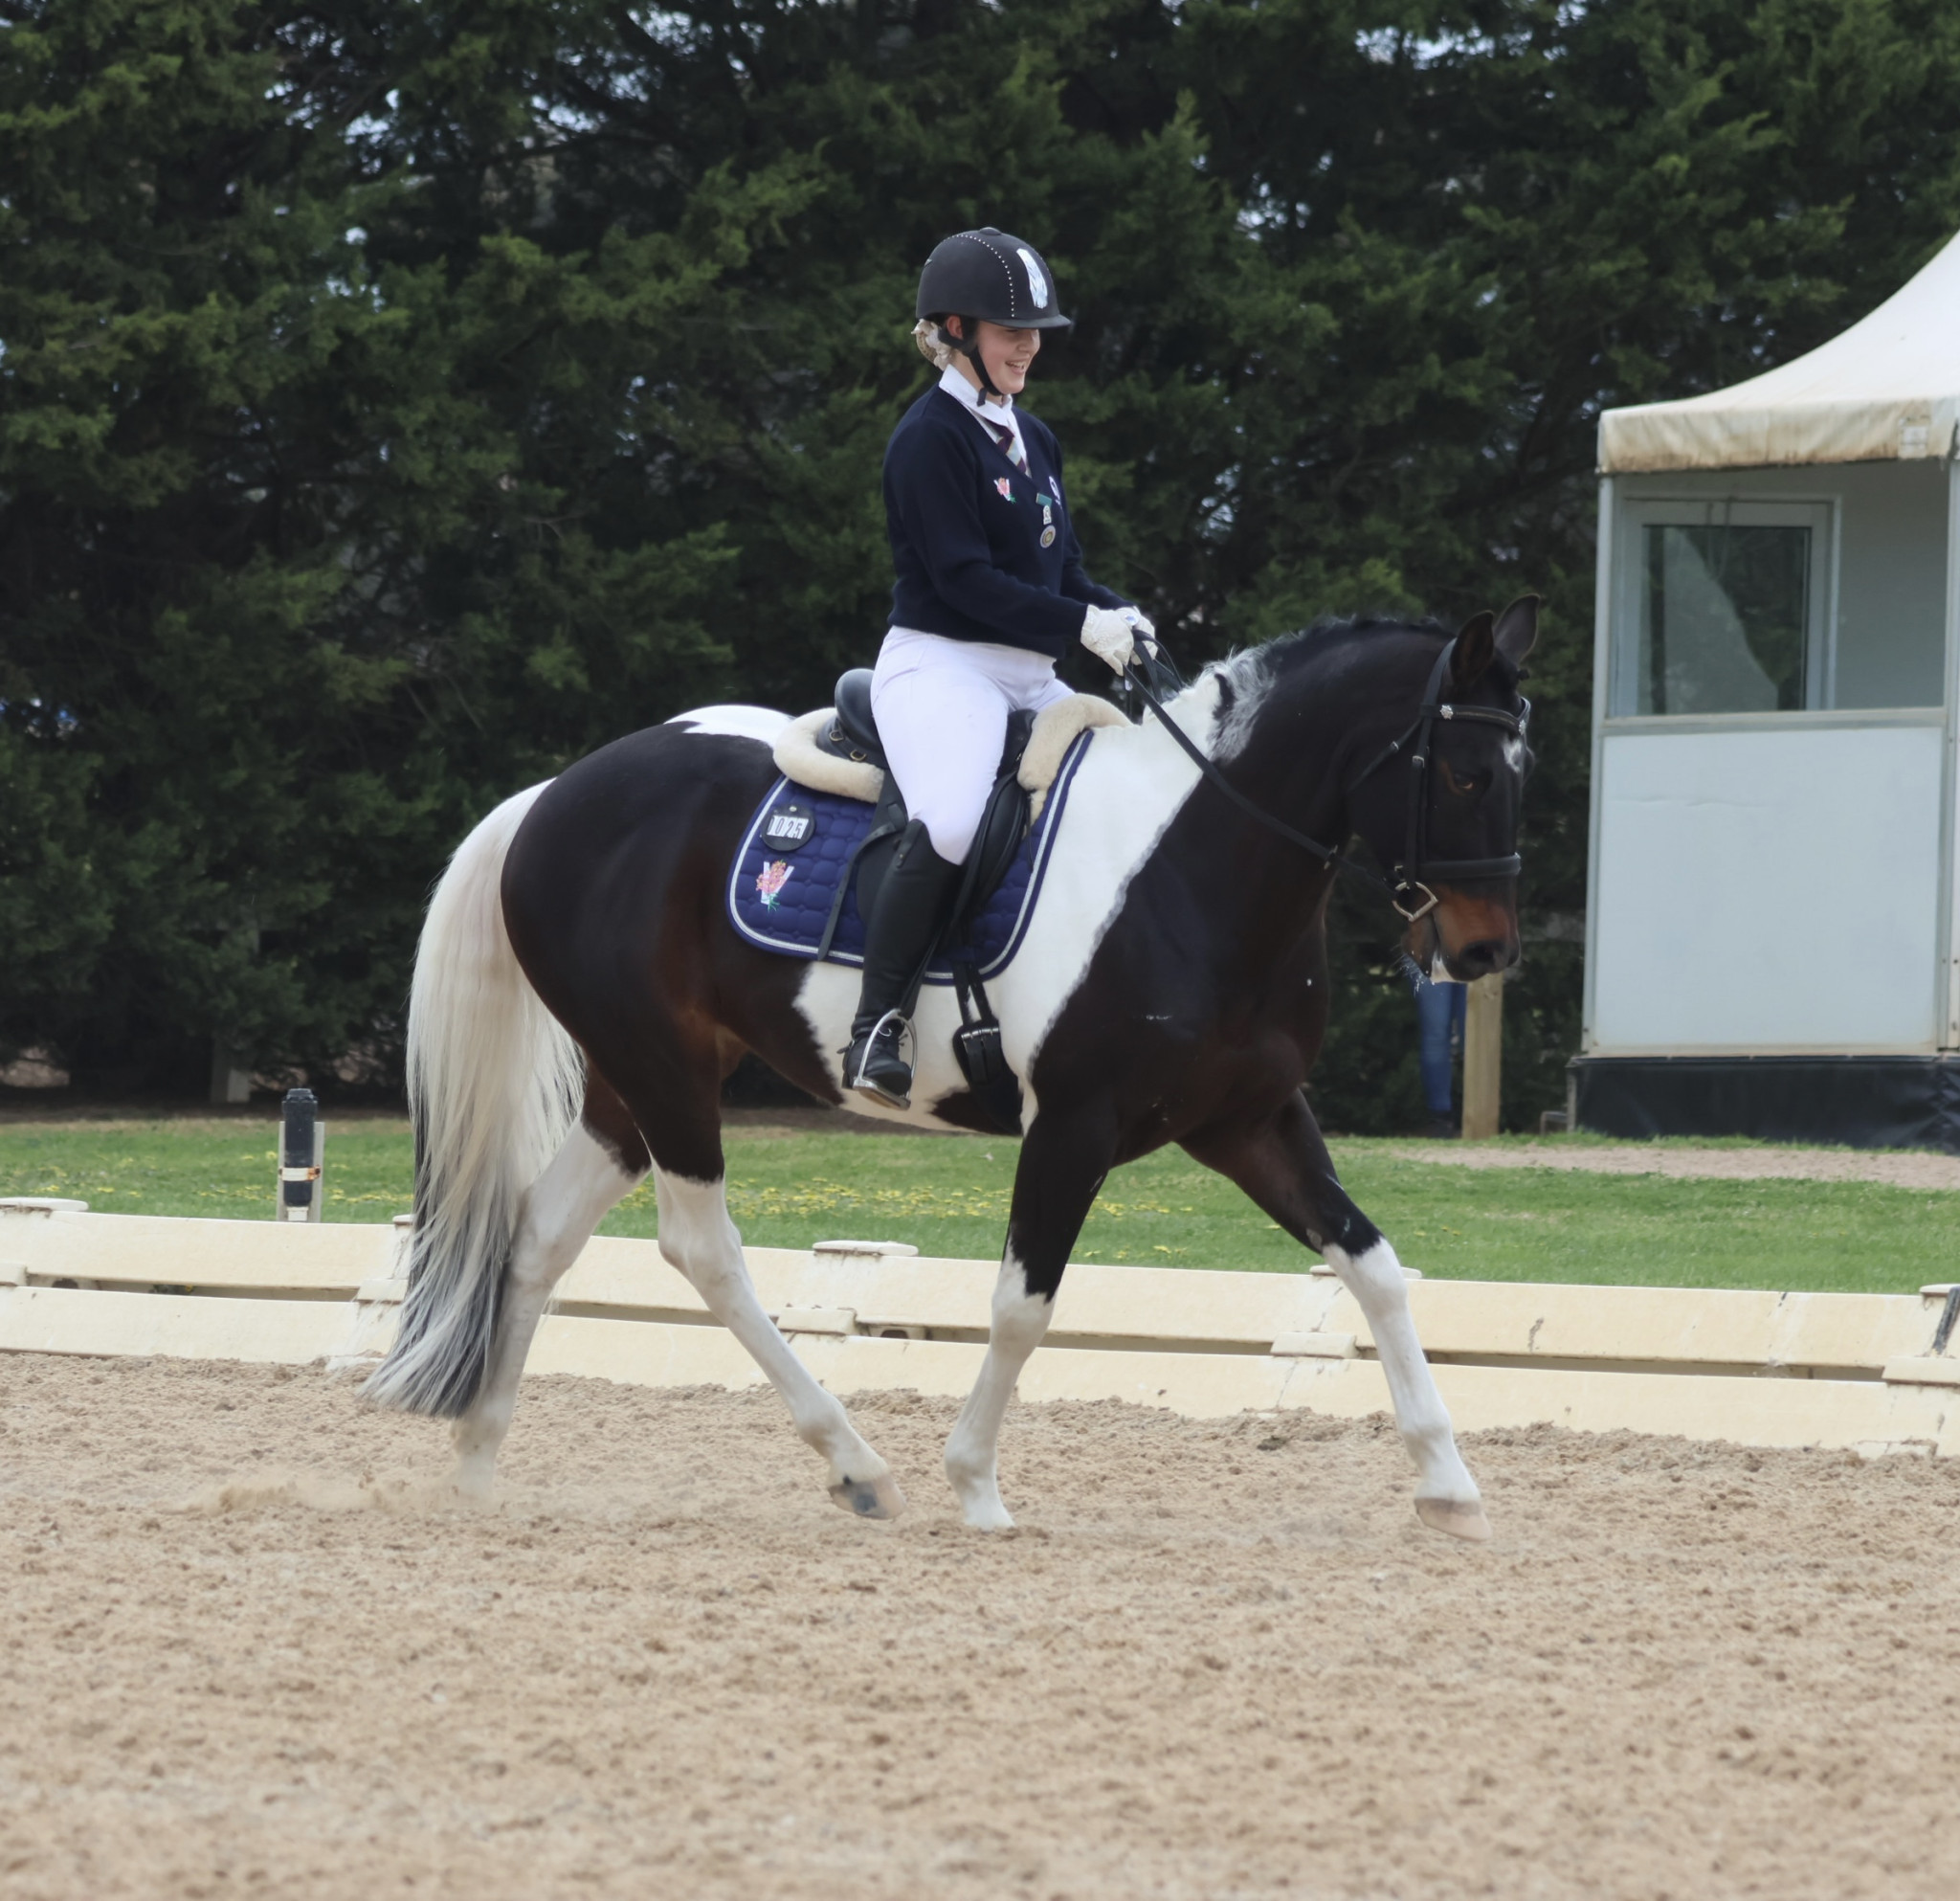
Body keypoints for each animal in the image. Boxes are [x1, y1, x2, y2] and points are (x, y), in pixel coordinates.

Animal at [363, 597, 1539, 1541]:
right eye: (1465, 770)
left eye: (1517, 774)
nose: (1485, 953)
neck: (1190, 868)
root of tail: (556, 792)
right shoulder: (1073, 1123)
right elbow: (1022, 1305)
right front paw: (974, 1485)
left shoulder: (1248, 1119)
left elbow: (1372, 1268)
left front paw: (1448, 1487)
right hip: (664, 1074)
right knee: (703, 1250)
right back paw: (858, 1467)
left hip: (631, 1085)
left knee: (539, 1236)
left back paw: (478, 1465)